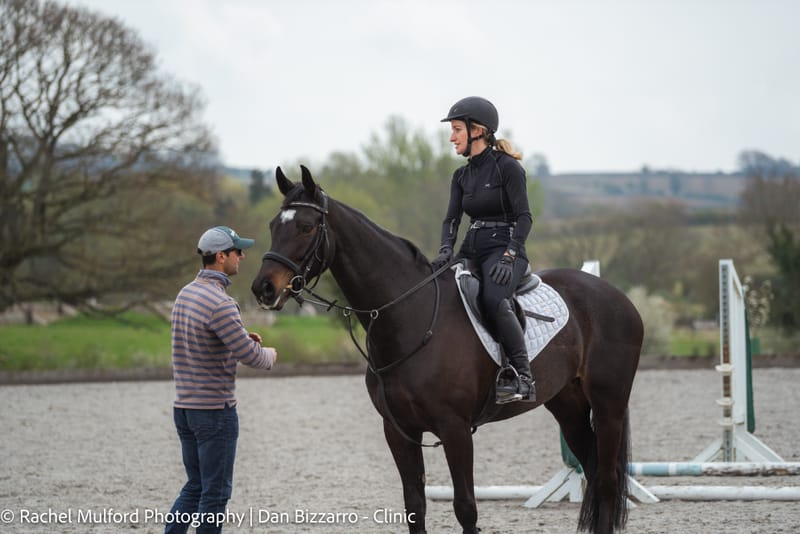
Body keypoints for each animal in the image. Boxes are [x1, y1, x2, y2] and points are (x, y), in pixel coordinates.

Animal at [251, 165, 643, 534]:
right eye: (272, 225)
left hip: (608, 405)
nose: (263, 289)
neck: (409, 315)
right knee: (593, 470)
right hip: (568, 405)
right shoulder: (399, 432)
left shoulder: (455, 429)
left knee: (607, 479)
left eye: (305, 226)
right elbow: (415, 506)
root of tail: (617, 296)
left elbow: (465, 508)